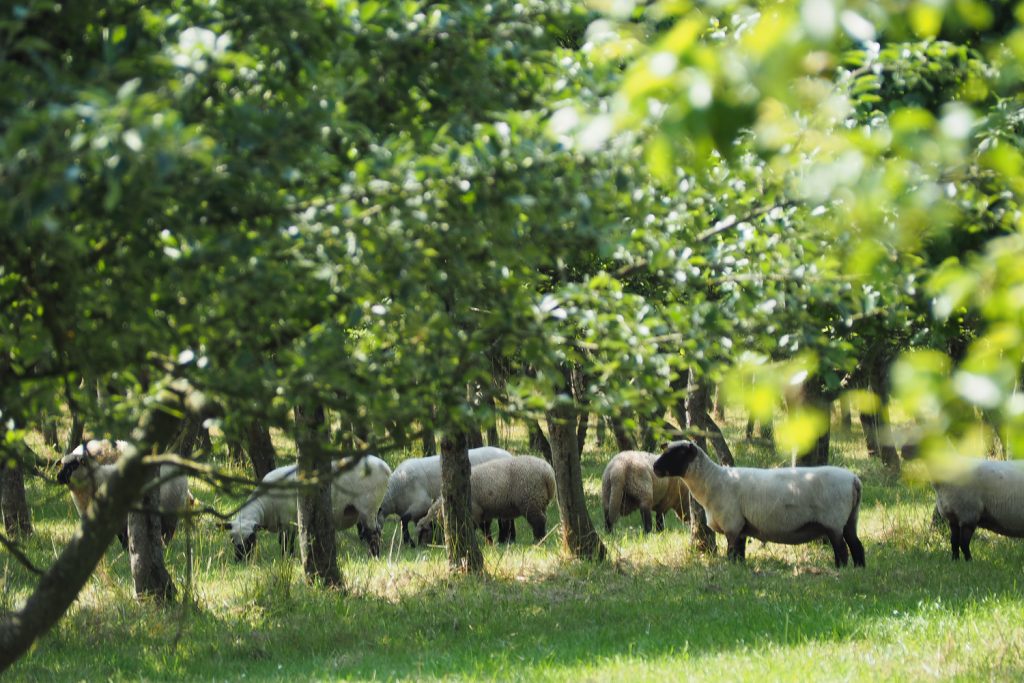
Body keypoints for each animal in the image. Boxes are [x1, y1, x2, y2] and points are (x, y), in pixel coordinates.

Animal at [225, 456, 391, 565]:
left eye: (251, 539)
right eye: (232, 539)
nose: (239, 561)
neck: (266, 504)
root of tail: (385, 467)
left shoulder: (288, 520)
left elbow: (286, 543)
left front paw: (287, 560)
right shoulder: (284, 522)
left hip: (368, 506)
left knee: (373, 533)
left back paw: (374, 557)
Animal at [376, 446, 512, 548]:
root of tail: (509, 455)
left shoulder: (422, 503)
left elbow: (404, 520)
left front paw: (410, 543)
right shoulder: (418, 512)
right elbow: (420, 524)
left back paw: (507, 540)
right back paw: (506, 539)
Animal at [413, 456, 557, 548]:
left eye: (424, 531)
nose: (420, 547)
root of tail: (548, 473)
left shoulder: (475, 512)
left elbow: (473, 528)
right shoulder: (483, 512)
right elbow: (486, 529)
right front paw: (490, 543)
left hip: (530, 500)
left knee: (539, 521)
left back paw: (538, 540)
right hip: (539, 501)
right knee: (543, 518)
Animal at [655, 440, 864, 569]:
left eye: (678, 453)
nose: (655, 468)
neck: (713, 480)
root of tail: (854, 479)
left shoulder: (732, 524)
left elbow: (731, 553)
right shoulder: (741, 527)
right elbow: (739, 555)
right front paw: (738, 570)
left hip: (833, 521)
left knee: (842, 550)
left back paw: (840, 570)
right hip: (850, 519)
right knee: (857, 546)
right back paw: (858, 569)